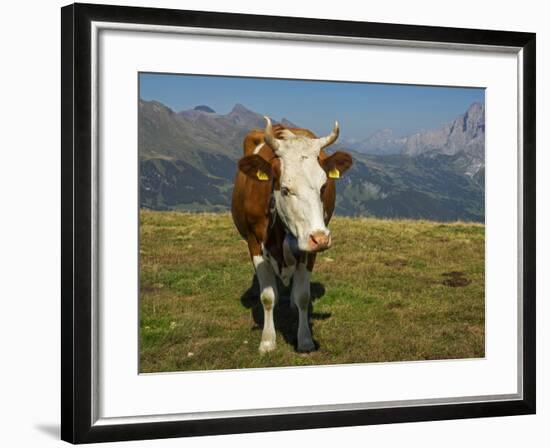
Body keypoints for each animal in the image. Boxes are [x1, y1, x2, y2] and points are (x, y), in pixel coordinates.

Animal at [232, 116, 354, 354]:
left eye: (323, 186)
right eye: (286, 189)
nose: (321, 238)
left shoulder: (309, 250)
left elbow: (303, 296)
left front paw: (305, 339)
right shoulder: (254, 243)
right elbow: (267, 297)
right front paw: (267, 341)